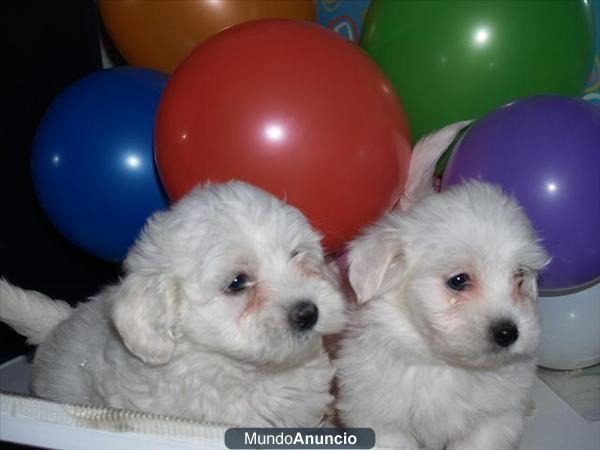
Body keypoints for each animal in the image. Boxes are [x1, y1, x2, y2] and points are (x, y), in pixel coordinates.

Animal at [336, 126, 552, 450]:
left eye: (519, 276)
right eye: (458, 281)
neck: (445, 366)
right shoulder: (381, 420)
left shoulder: (493, 420)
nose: (508, 333)